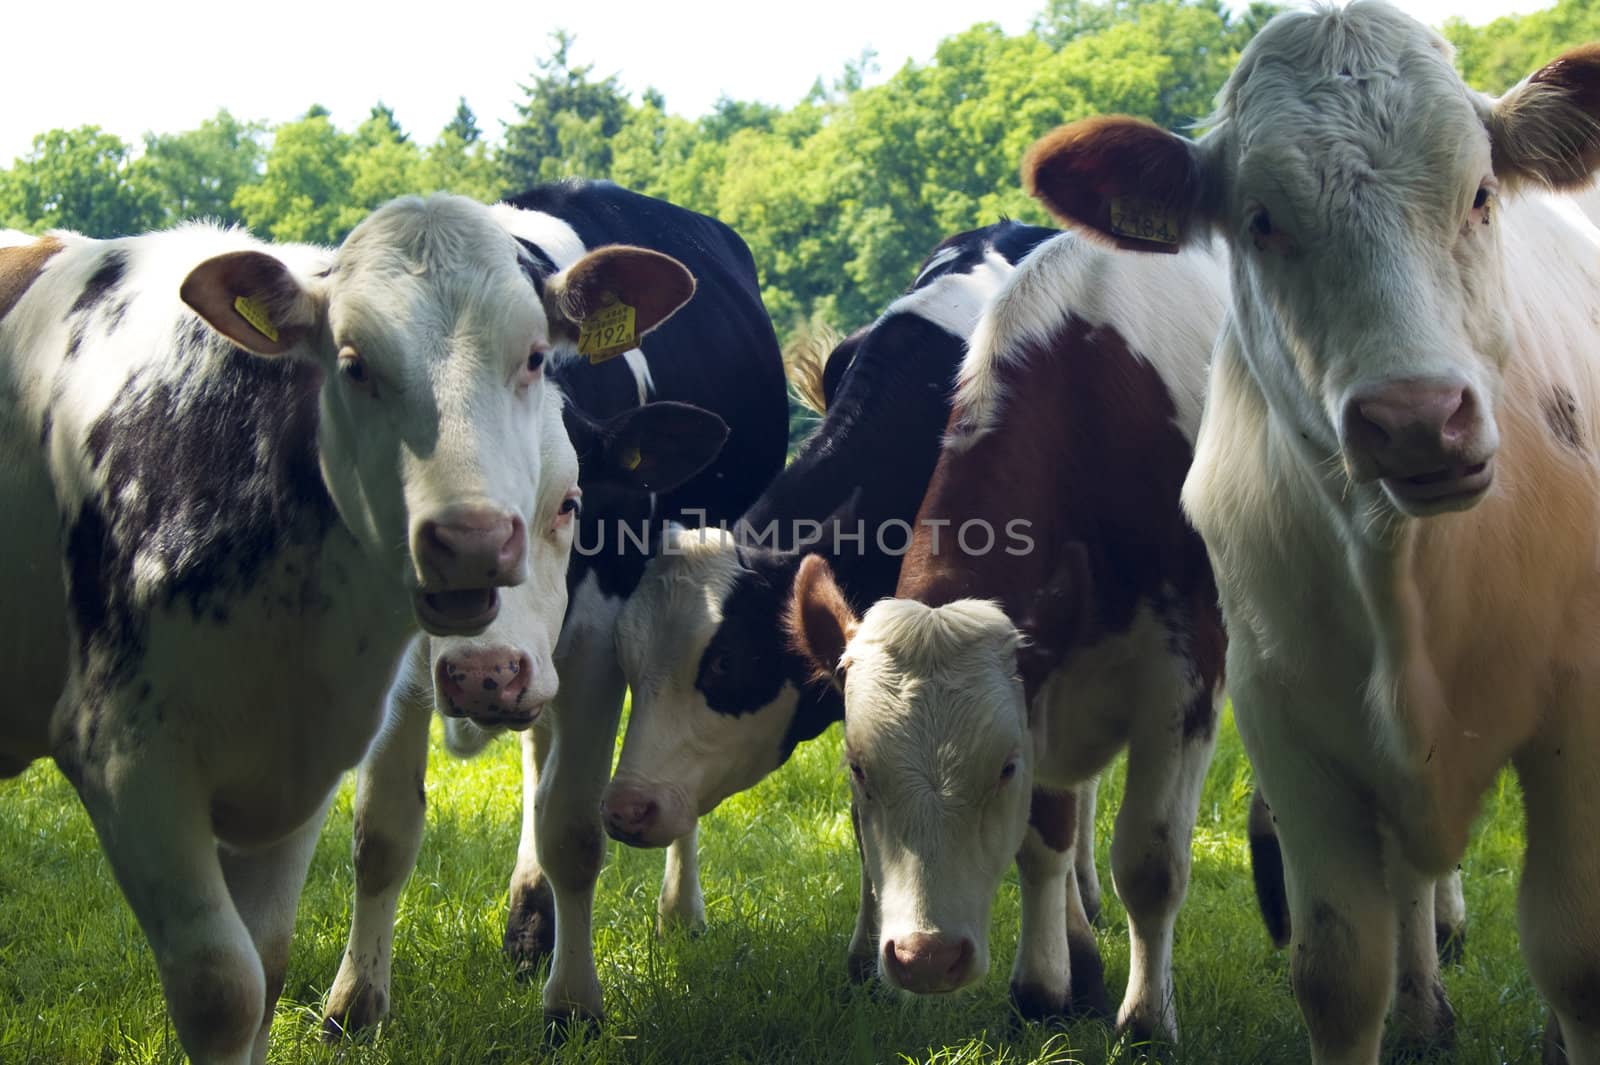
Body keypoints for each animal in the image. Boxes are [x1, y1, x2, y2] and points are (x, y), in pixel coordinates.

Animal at [0, 192, 700, 1061]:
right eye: (353, 362)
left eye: (537, 354)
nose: (469, 539)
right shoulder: (127, 761)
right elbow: (229, 983)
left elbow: (266, 961)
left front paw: (571, 1005)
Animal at [315, 178, 790, 1029]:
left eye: (569, 503)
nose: (485, 672)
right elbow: (381, 832)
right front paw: (354, 1001)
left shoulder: (598, 641)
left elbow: (574, 826)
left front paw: (574, 1004)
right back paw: (529, 920)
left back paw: (678, 908)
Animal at [793, 228, 1228, 1042]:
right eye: (859, 769)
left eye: (1003, 768)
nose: (926, 957)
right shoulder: (1045, 680)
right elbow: (1044, 835)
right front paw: (1048, 986)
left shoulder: (1184, 678)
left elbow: (1151, 862)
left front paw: (1145, 1020)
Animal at [1017, 4, 1600, 1055]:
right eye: (1260, 221)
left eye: (1481, 193)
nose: (1417, 418)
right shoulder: (1286, 724)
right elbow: (1337, 971)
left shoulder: (1578, 716)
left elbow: (1576, 953)